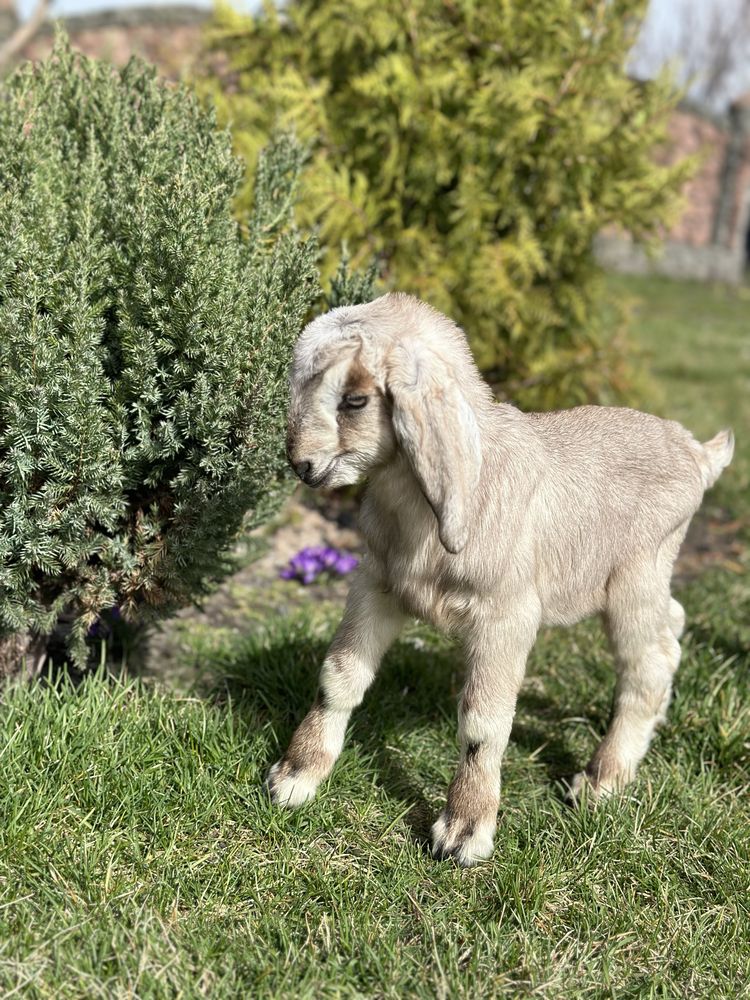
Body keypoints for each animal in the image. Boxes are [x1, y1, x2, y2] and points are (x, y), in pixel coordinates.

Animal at [268, 292, 736, 868]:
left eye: (354, 400)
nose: (301, 465)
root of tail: (699, 453)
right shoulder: (375, 584)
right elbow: (339, 677)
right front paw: (296, 776)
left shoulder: (506, 615)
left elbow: (482, 723)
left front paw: (465, 831)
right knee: (673, 627)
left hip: (636, 574)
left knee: (649, 662)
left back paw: (601, 780)